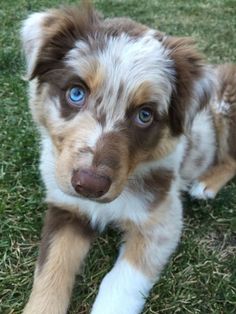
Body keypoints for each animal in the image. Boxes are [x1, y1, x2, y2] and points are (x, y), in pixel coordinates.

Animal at [20, 2, 236, 314]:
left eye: (145, 115)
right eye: (76, 93)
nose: (90, 185)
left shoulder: (162, 221)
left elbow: (119, 283)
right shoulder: (66, 207)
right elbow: (50, 269)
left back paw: (206, 185)